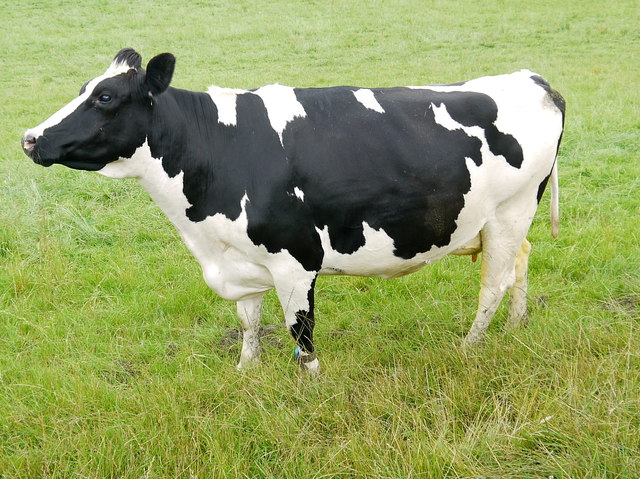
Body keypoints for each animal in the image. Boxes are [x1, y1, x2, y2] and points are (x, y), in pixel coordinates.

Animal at [21, 48, 564, 376]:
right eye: (83, 88)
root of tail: (532, 78)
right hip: (502, 222)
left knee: (493, 284)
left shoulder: (295, 259)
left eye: (105, 96)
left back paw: (470, 347)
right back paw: (515, 328)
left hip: (510, 211)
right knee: (521, 260)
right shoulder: (240, 258)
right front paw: (245, 373)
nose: (29, 138)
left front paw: (313, 385)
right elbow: (248, 322)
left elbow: (300, 332)